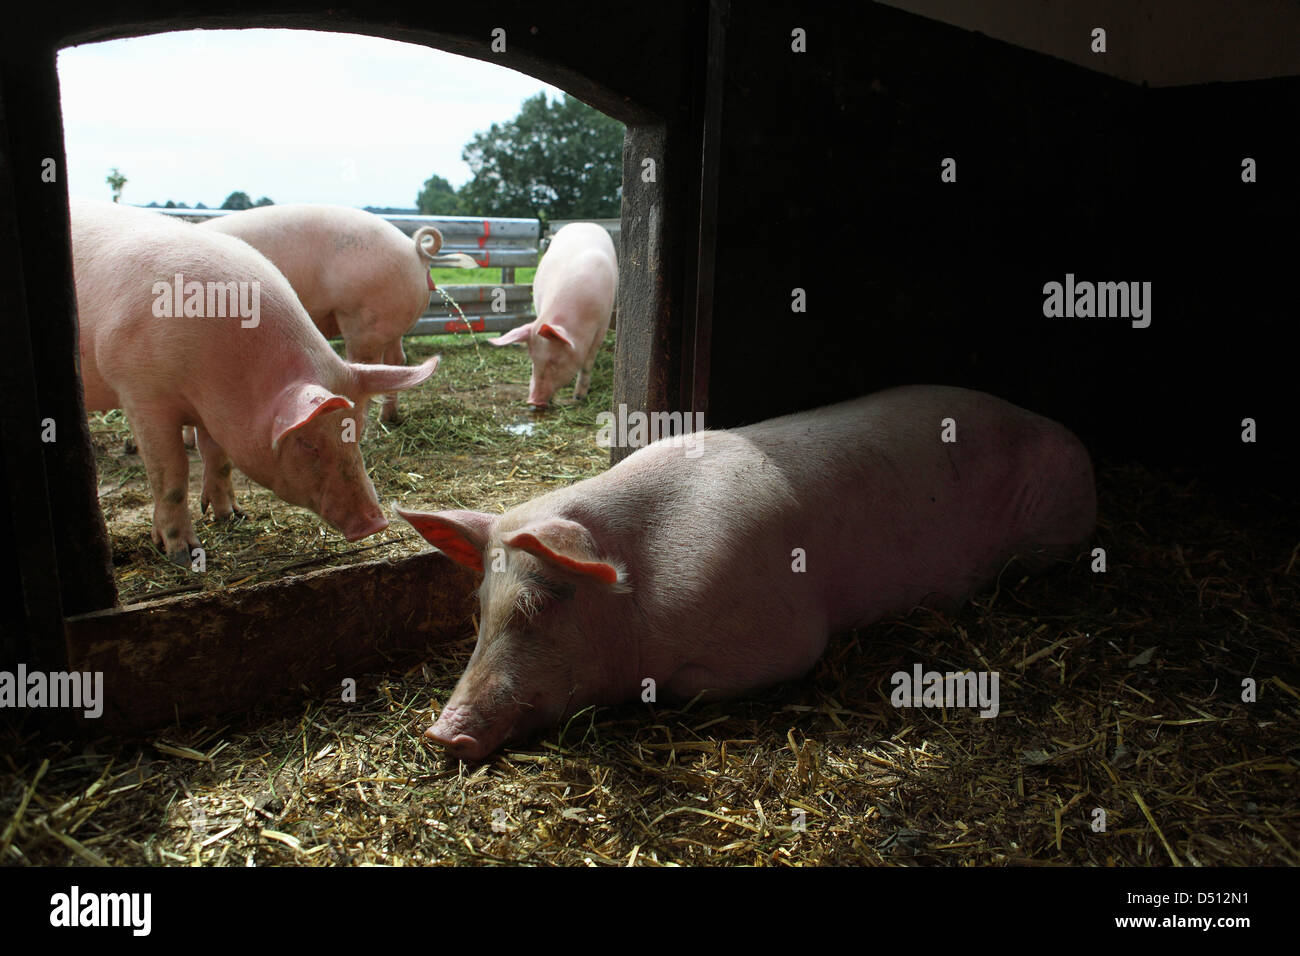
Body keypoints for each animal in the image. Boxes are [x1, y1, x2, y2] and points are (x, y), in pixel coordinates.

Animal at [73, 197, 439, 564]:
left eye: (356, 434)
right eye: (308, 443)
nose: (375, 523)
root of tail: (413, 248)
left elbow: (218, 459)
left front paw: (233, 516)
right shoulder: (140, 392)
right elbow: (172, 474)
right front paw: (184, 555)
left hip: (367, 319)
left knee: (394, 360)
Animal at [197, 204, 473, 424]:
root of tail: (414, 251)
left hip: (363, 320)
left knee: (365, 371)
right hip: (390, 322)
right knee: (397, 361)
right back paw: (389, 419)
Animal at [488, 222, 618, 408]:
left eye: (554, 360)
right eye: (533, 360)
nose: (532, 400)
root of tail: (583, 223)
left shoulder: (603, 323)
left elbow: (587, 363)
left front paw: (578, 397)